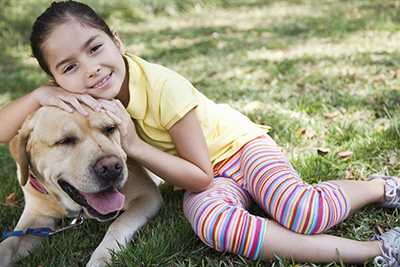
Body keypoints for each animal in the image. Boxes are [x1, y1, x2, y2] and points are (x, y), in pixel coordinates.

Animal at [0, 107, 162, 267]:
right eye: (64, 141)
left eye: (109, 129)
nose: (111, 167)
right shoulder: (36, 218)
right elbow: (9, 244)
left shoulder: (147, 195)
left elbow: (119, 223)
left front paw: (102, 257)